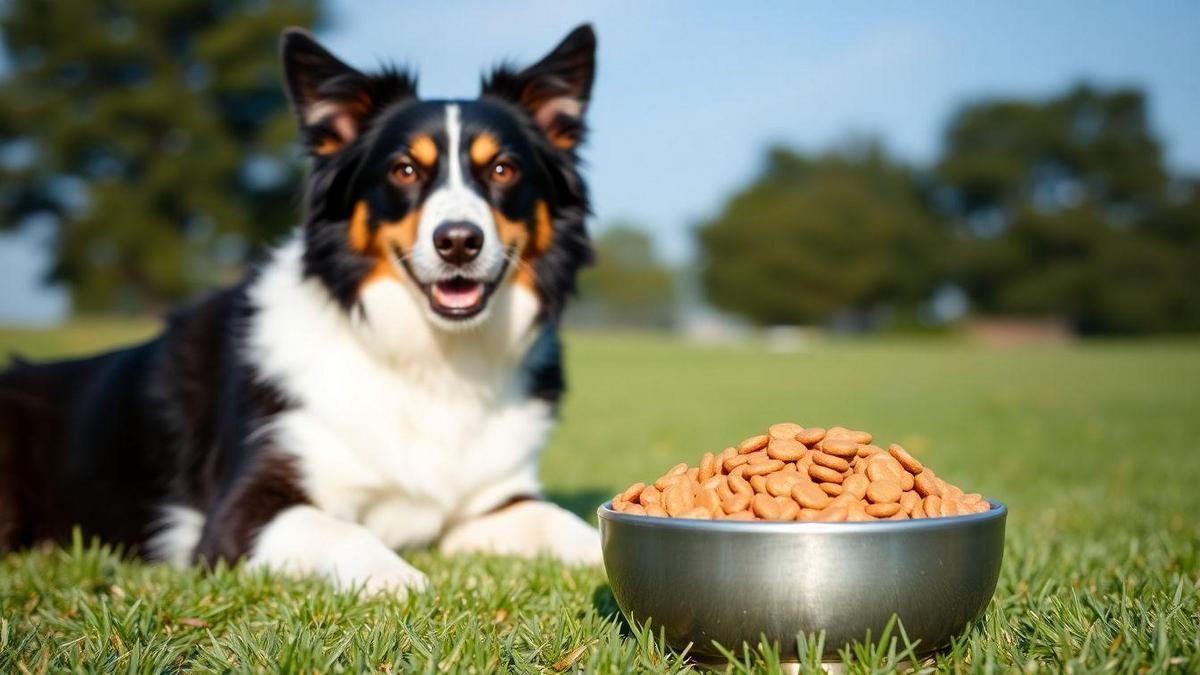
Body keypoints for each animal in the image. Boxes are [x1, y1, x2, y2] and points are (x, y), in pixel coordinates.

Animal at [0, 23, 600, 590]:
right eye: (404, 170)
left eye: (502, 170)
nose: (458, 241)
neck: (427, 359)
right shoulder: (239, 513)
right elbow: (339, 528)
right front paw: (397, 580)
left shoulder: (480, 507)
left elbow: (561, 521)